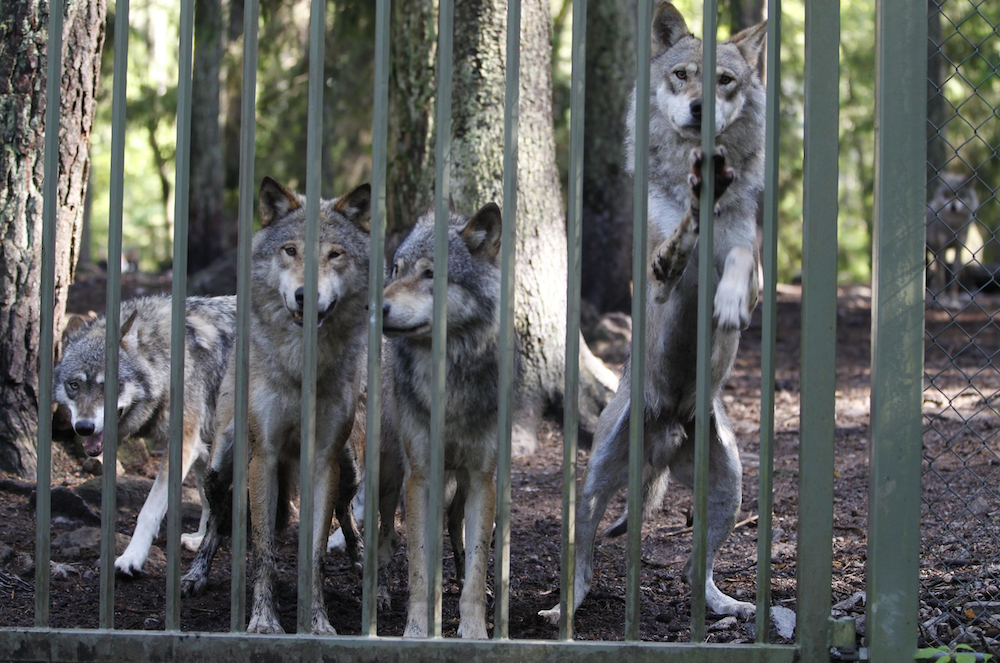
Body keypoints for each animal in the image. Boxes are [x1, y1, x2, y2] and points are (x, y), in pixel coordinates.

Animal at [52, 296, 236, 576]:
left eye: (110, 386)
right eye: (74, 385)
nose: (84, 427)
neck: (165, 360)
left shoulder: (183, 444)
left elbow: (149, 510)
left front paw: (132, 557)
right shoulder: (202, 445)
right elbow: (207, 498)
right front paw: (200, 539)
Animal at [228, 176, 372, 640]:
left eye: (334, 254)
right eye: (290, 250)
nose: (304, 295)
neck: (301, 364)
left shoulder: (324, 460)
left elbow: (315, 555)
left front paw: (317, 623)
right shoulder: (266, 457)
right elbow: (265, 554)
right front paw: (263, 620)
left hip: (350, 467)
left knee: (346, 513)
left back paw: (361, 557)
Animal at [378, 202, 524, 640]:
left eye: (431, 273)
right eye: (397, 269)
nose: (379, 306)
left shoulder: (481, 478)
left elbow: (476, 565)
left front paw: (474, 629)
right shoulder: (421, 477)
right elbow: (418, 565)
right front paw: (416, 629)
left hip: (464, 483)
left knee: (455, 526)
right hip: (389, 477)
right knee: (384, 539)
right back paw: (380, 595)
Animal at [540, 1, 764, 628]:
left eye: (725, 80)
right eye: (682, 75)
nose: (698, 108)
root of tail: (667, 434)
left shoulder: (754, 263)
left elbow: (739, 260)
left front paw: (728, 303)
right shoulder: (658, 279)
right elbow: (677, 245)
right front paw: (686, 230)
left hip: (730, 490)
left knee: (695, 569)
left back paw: (726, 605)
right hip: (594, 485)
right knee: (586, 560)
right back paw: (562, 609)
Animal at [924, 171, 980, 306]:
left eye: (960, 195)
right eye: (946, 195)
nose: (953, 207)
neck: (953, 226)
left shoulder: (959, 249)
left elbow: (955, 279)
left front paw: (954, 302)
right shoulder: (941, 250)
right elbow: (942, 277)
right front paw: (943, 300)